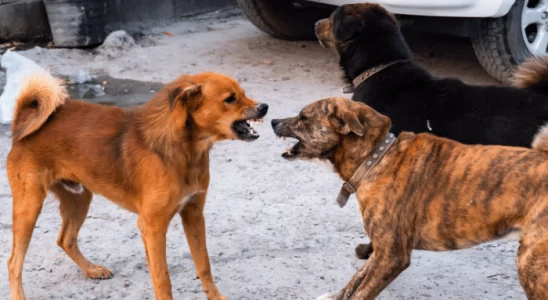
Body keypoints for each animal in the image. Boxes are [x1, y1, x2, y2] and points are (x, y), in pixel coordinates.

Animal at [6, 72, 268, 300]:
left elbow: (204, 264)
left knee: (65, 239)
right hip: (30, 208)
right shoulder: (153, 227)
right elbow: (162, 278)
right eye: (230, 99)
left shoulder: (193, 214)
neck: (185, 150)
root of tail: (22, 124)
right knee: (13, 262)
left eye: (243, 93)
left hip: (79, 198)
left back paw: (92, 270)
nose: (265, 107)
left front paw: (215, 296)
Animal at [272, 97, 548, 298]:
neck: (376, 159)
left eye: (303, 117)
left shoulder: (392, 256)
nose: (273, 120)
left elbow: (362, 292)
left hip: (531, 266)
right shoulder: (381, 250)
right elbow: (355, 279)